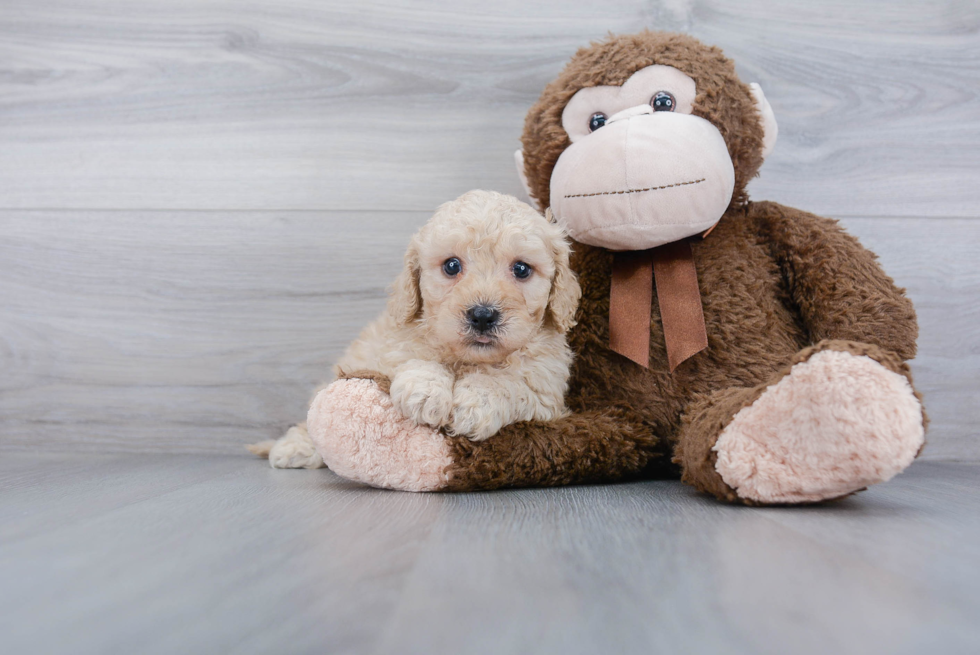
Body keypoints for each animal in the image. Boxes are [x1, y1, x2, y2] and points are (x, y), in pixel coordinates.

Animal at [253, 190, 580, 472]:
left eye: (522, 269)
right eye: (451, 266)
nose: (483, 315)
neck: (469, 359)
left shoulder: (545, 391)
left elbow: (510, 383)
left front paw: (476, 403)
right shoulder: (391, 349)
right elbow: (416, 360)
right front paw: (425, 392)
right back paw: (294, 448)